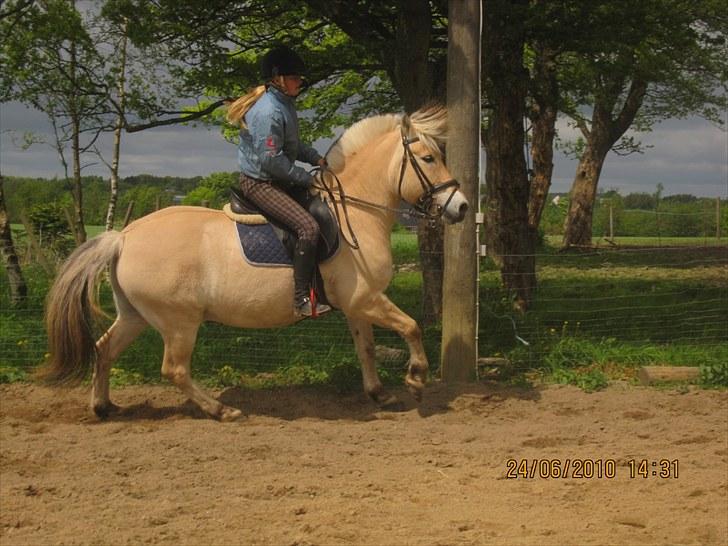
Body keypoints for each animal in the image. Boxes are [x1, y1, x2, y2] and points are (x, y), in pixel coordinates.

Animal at [42, 106, 470, 420]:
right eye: (429, 158)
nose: (462, 207)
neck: (356, 212)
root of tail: (124, 237)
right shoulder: (366, 299)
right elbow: (411, 327)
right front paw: (416, 379)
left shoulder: (357, 305)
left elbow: (365, 347)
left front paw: (379, 393)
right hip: (178, 322)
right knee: (173, 369)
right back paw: (222, 410)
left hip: (136, 315)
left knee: (104, 349)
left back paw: (103, 406)